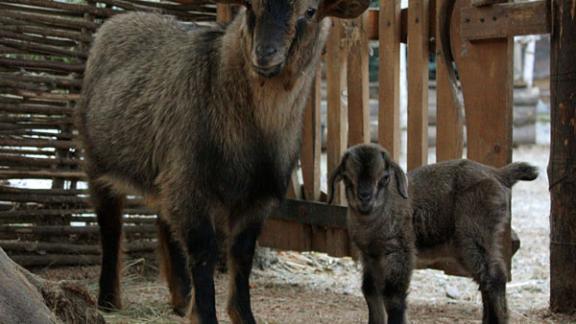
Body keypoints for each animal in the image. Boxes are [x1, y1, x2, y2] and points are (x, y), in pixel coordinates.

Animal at [76, 1, 368, 322]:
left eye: (311, 11)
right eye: (251, 7)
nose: (264, 53)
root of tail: (118, 20)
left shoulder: (256, 198)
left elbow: (242, 256)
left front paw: (241, 315)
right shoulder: (191, 185)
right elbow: (204, 254)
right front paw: (203, 313)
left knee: (164, 223)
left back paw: (180, 300)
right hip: (97, 161)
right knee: (110, 225)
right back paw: (108, 299)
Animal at [330, 144, 536, 324]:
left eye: (385, 178)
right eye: (347, 177)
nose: (365, 197)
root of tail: (498, 174)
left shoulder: (401, 250)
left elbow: (393, 295)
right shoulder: (369, 256)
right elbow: (370, 291)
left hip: (476, 232)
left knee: (495, 276)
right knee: (485, 278)